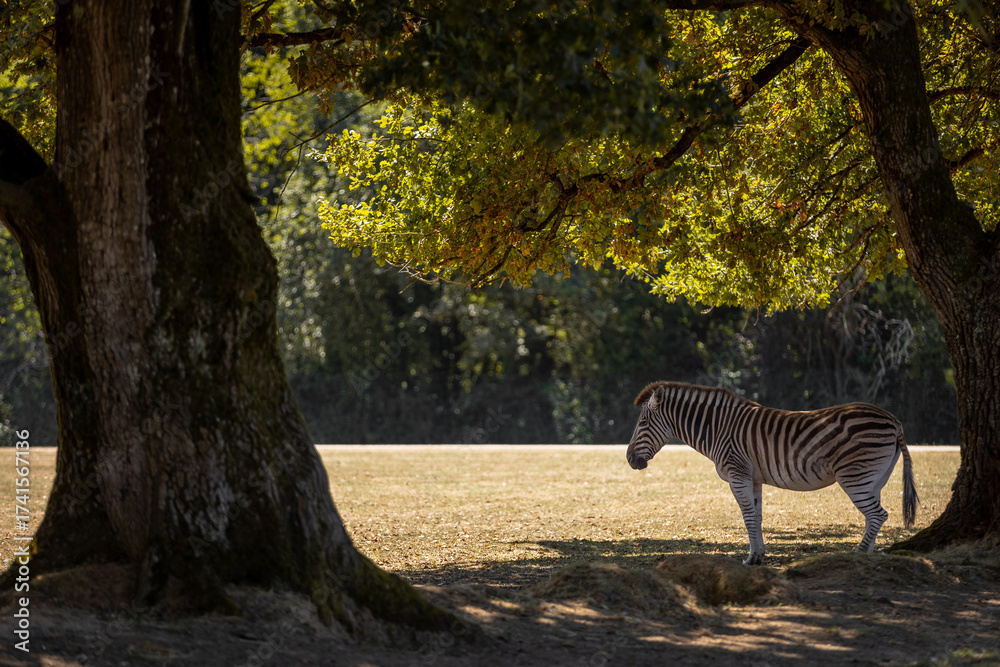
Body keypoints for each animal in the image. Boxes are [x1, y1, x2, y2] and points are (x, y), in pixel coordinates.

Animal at [626, 381, 918, 565]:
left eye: (642, 423)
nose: (629, 459)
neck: (718, 428)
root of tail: (894, 420)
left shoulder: (738, 474)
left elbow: (747, 518)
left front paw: (751, 558)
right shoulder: (753, 478)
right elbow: (757, 516)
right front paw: (760, 555)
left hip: (855, 477)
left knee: (878, 515)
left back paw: (857, 555)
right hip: (874, 479)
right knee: (874, 517)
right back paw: (866, 554)